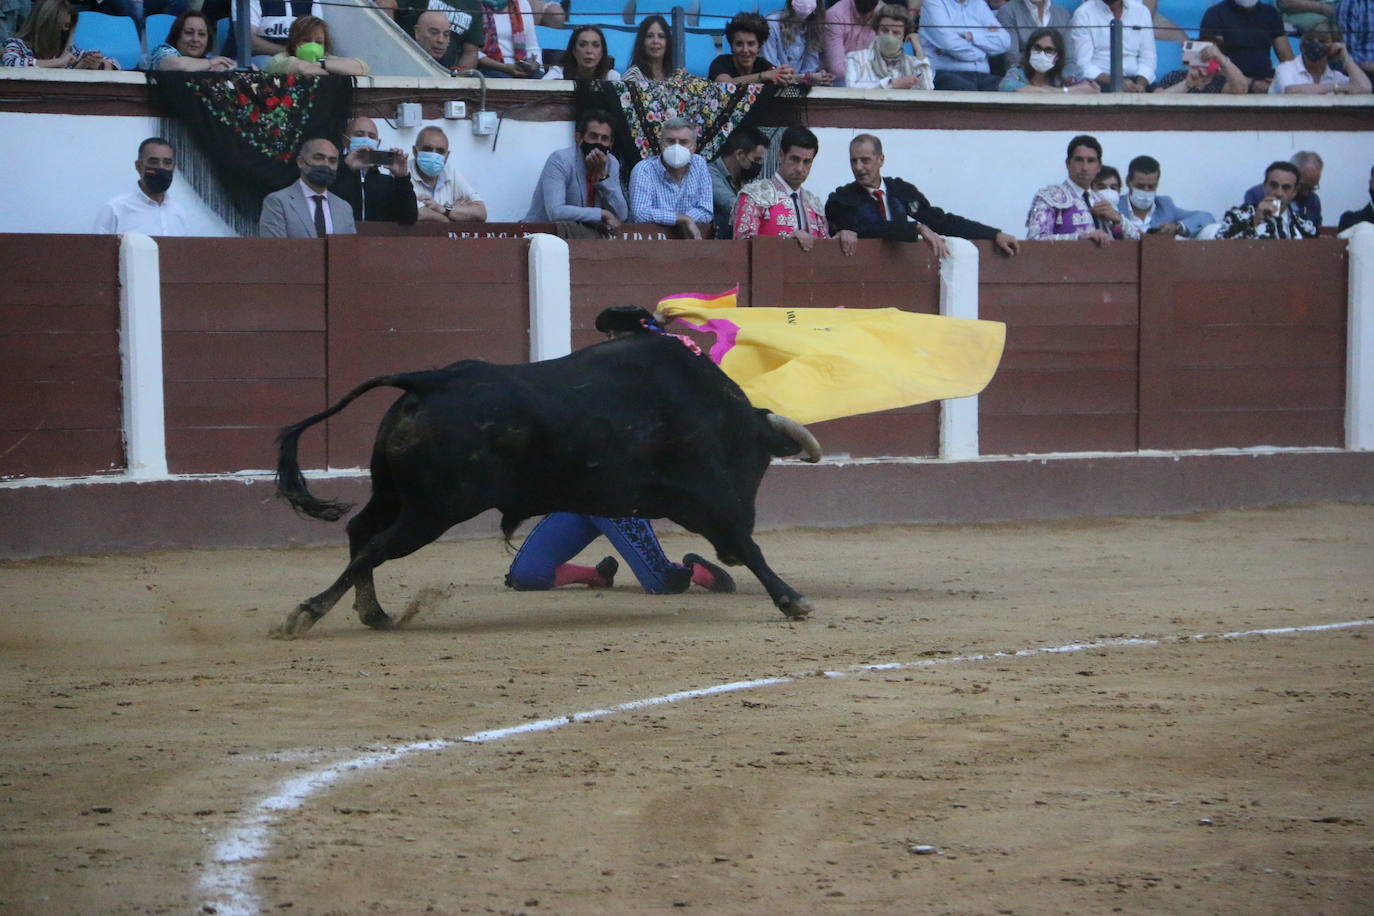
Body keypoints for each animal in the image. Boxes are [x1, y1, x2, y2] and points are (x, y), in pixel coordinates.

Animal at [273, 322, 818, 637]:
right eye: (757, 463)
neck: (718, 412)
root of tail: (431, 380)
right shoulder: (709, 497)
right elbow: (747, 542)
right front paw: (791, 599)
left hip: (394, 494)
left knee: (360, 531)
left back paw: (373, 613)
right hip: (432, 510)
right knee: (374, 546)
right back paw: (308, 613)